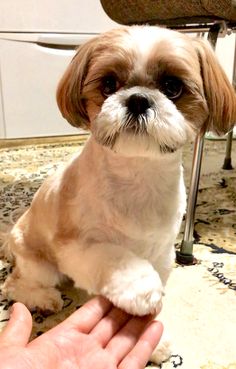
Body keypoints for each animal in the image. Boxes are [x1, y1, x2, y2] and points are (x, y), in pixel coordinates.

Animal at [0, 25, 235, 362]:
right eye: (109, 84)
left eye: (172, 86)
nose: (137, 100)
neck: (138, 176)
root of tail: (12, 233)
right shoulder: (75, 246)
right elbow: (115, 258)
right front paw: (141, 288)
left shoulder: (162, 253)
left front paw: (154, 338)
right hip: (40, 264)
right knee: (14, 285)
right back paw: (44, 298)